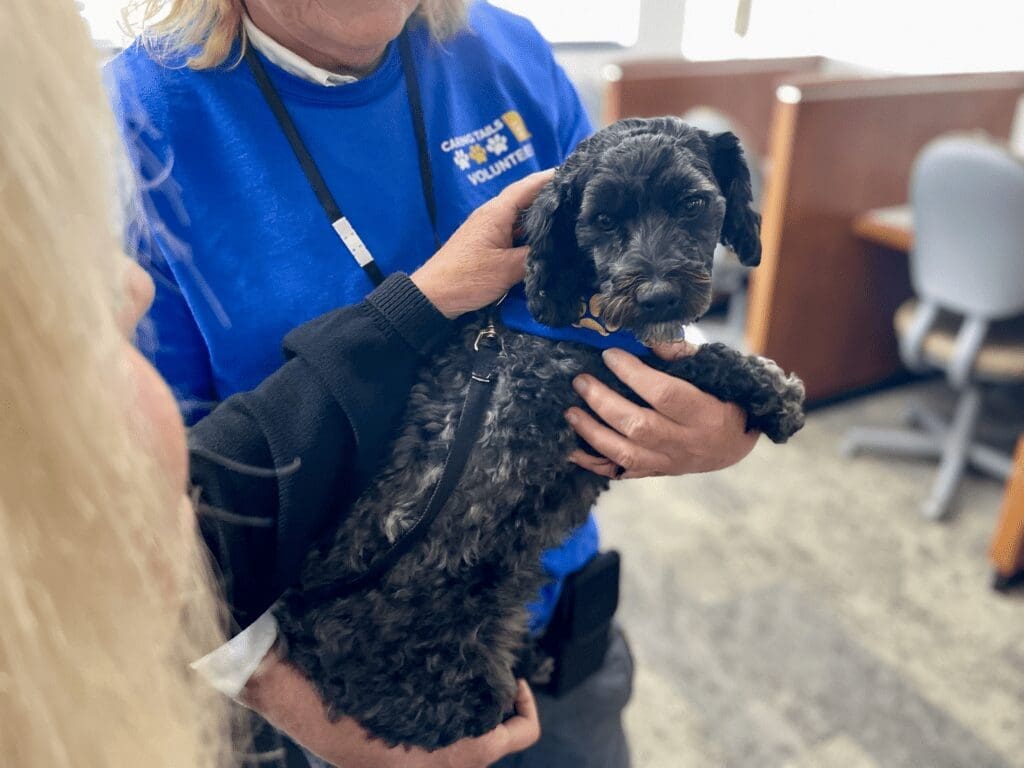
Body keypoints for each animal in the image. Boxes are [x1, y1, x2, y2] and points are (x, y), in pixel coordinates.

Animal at [274, 115, 806, 753]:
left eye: (694, 203)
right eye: (603, 220)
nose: (657, 296)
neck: (579, 309)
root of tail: (303, 628)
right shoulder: (600, 376)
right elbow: (697, 362)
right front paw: (772, 389)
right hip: (451, 688)